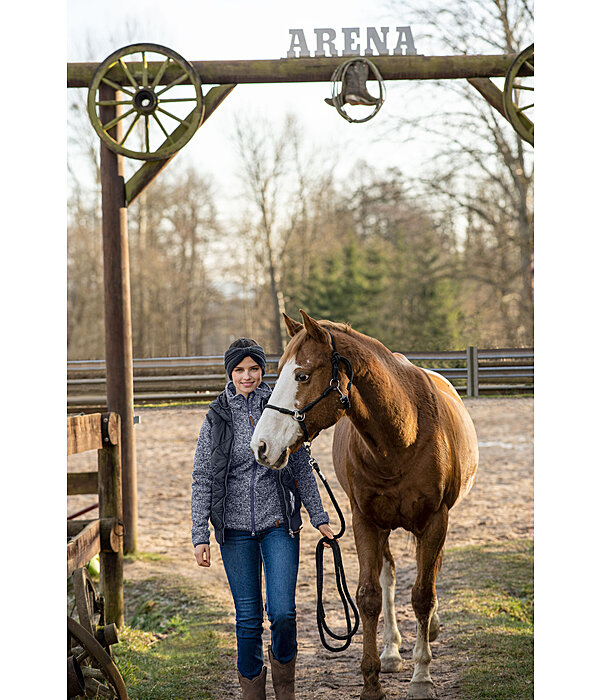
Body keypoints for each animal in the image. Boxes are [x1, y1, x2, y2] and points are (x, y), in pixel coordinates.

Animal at [252, 314, 478, 700]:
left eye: (302, 376)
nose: (261, 446)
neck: (402, 435)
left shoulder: (436, 521)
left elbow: (422, 595)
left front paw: (422, 679)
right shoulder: (365, 522)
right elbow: (369, 596)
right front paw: (372, 682)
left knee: (428, 577)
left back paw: (429, 630)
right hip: (384, 527)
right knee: (388, 578)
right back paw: (390, 652)